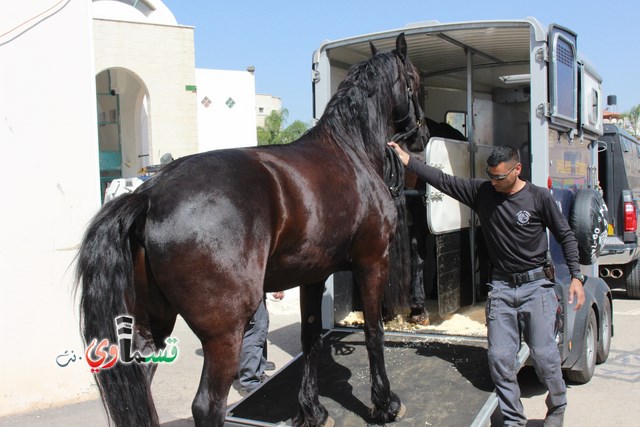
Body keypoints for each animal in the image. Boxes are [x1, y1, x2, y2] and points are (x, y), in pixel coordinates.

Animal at [76, 34, 430, 427]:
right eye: (415, 82)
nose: (423, 136)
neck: (351, 152)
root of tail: (150, 194)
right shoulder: (372, 263)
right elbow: (373, 332)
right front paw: (385, 405)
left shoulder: (313, 276)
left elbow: (311, 338)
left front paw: (312, 411)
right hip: (225, 332)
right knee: (207, 404)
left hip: (152, 322)